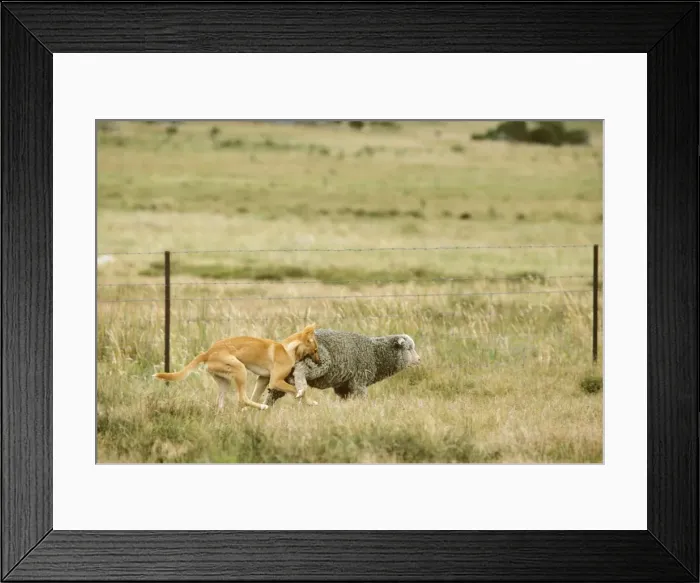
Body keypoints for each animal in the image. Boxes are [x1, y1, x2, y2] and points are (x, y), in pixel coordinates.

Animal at [257, 328, 421, 407]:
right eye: (409, 348)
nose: (419, 359)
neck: (375, 354)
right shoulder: (359, 381)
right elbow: (362, 397)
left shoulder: (344, 386)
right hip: (319, 361)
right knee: (300, 369)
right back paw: (301, 387)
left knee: (274, 391)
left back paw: (265, 408)